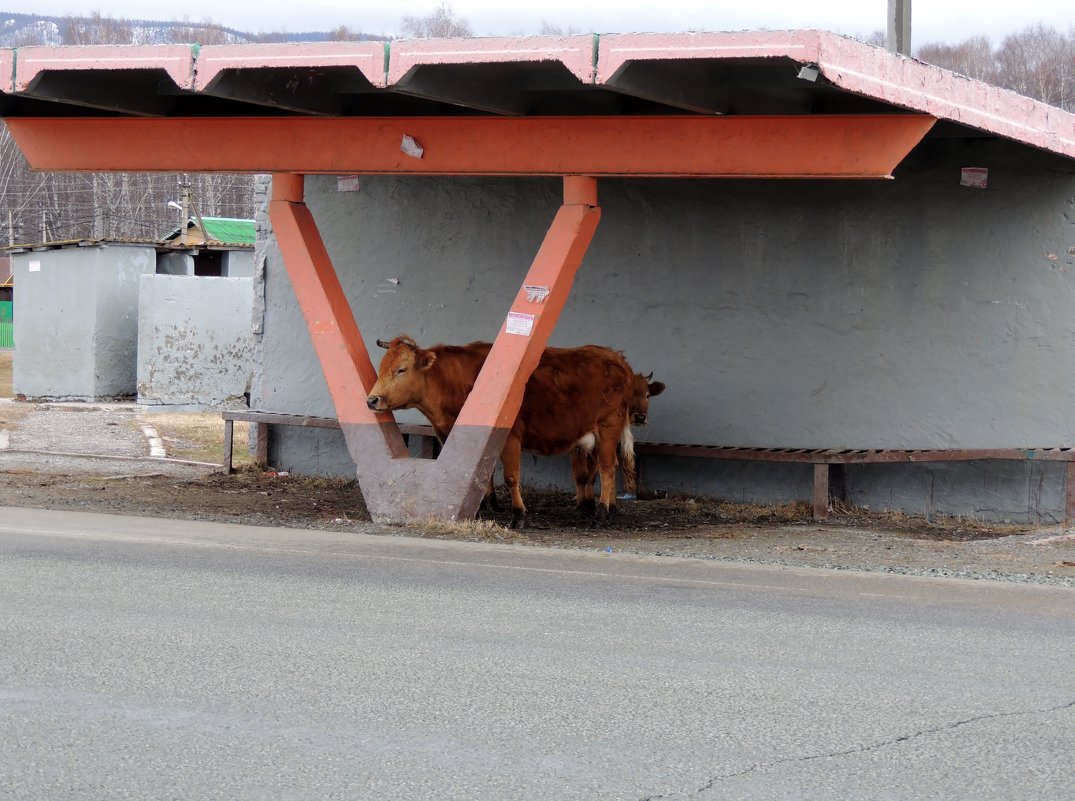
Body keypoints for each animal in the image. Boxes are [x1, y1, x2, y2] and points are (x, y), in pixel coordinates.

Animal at [369, 333, 636, 528]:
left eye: (402, 369)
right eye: (381, 367)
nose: (372, 400)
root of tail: (615, 357)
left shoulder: (509, 437)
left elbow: (510, 477)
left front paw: (518, 515)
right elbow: (481, 473)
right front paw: (484, 505)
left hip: (608, 428)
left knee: (607, 469)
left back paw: (601, 513)